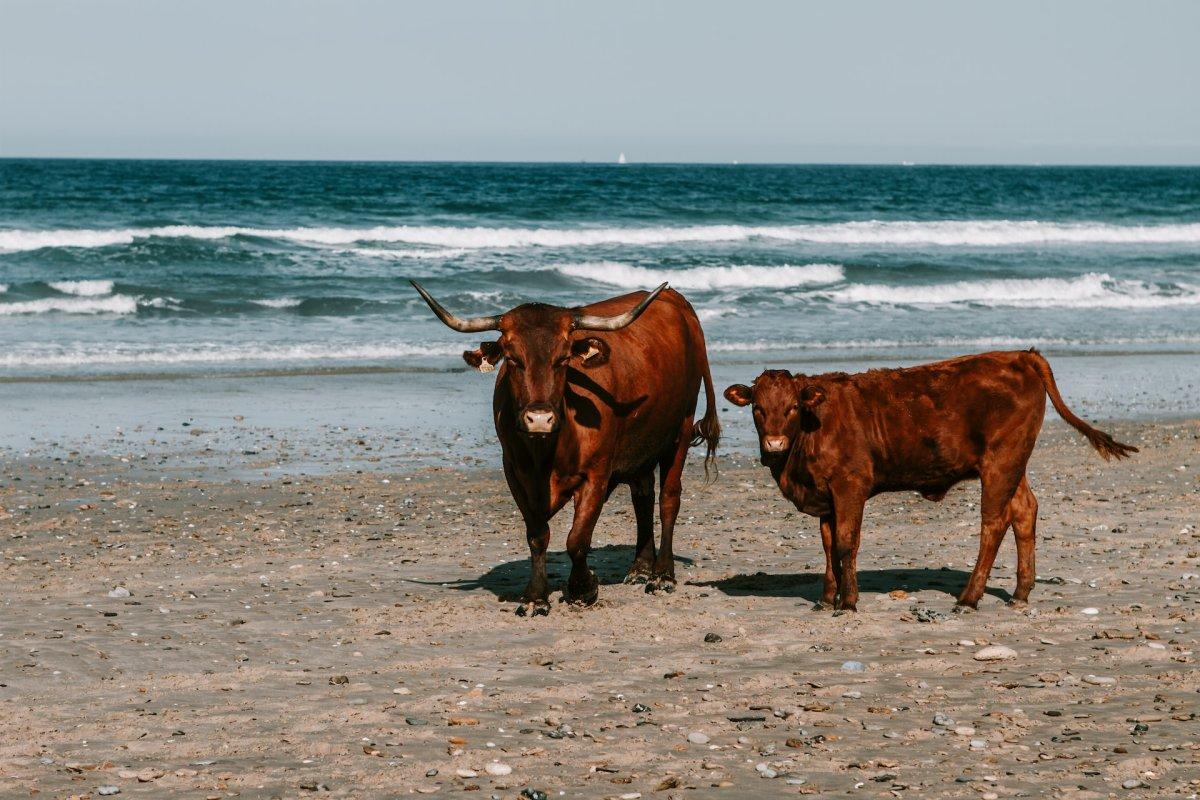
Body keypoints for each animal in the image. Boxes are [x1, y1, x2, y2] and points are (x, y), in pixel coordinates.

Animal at [412, 278, 715, 618]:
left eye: (563, 359)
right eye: (513, 359)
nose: (539, 418)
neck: (546, 453)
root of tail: (678, 302)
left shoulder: (596, 475)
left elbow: (577, 539)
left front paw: (584, 588)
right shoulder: (515, 473)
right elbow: (537, 535)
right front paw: (536, 597)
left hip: (681, 429)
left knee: (668, 500)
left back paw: (662, 574)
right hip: (641, 446)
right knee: (643, 495)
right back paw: (640, 568)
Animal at [720, 350, 1132, 614]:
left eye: (792, 407)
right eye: (758, 408)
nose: (774, 443)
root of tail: (1019, 355)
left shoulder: (850, 486)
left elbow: (846, 544)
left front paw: (848, 603)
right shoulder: (825, 495)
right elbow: (827, 546)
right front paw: (826, 599)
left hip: (1001, 462)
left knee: (994, 523)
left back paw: (969, 598)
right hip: (1014, 464)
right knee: (1024, 511)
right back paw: (1020, 592)